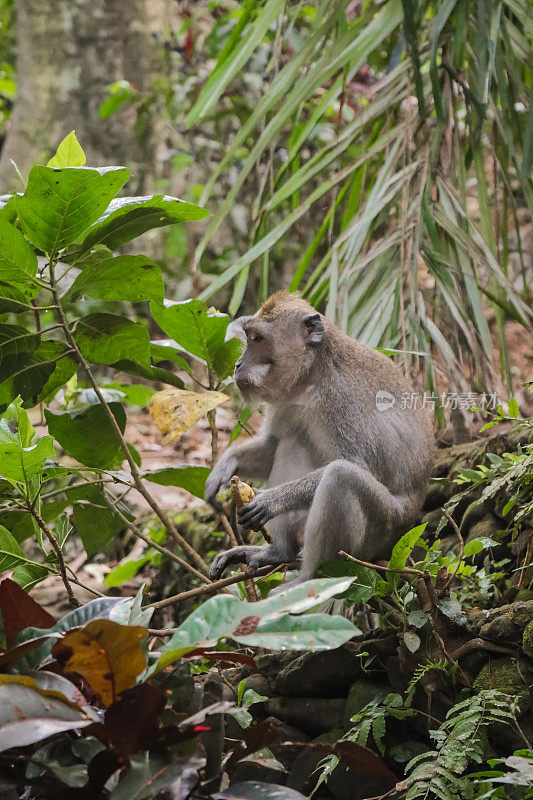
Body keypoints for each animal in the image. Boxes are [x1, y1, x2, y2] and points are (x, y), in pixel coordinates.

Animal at [206, 292, 434, 588]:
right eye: (249, 337)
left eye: (257, 339)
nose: (238, 365)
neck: (312, 375)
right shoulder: (287, 398)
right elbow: (271, 446)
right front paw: (224, 466)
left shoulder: (339, 400)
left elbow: (356, 464)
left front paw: (273, 499)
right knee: (292, 442)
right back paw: (278, 552)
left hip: (381, 533)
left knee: (341, 477)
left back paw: (308, 579)